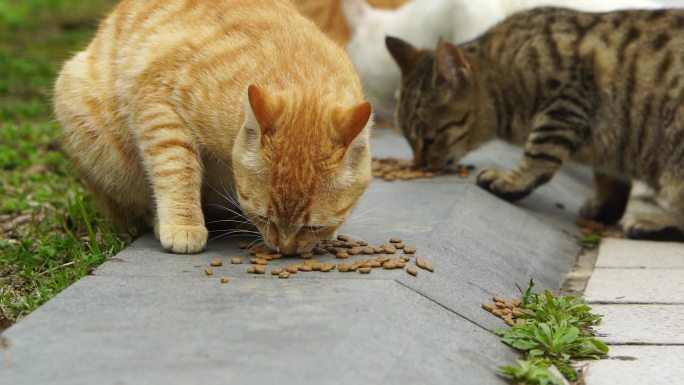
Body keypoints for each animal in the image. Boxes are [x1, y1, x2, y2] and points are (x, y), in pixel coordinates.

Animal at [54, 0, 374, 255]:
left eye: (313, 227)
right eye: (265, 218)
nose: (285, 250)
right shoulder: (159, 106)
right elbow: (176, 170)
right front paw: (183, 225)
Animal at [388, 7, 684, 240]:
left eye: (428, 139)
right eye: (408, 141)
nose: (420, 165)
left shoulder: (567, 101)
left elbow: (539, 154)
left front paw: (511, 181)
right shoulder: (608, 148)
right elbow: (610, 181)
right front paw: (603, 209)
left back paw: (653, 222)